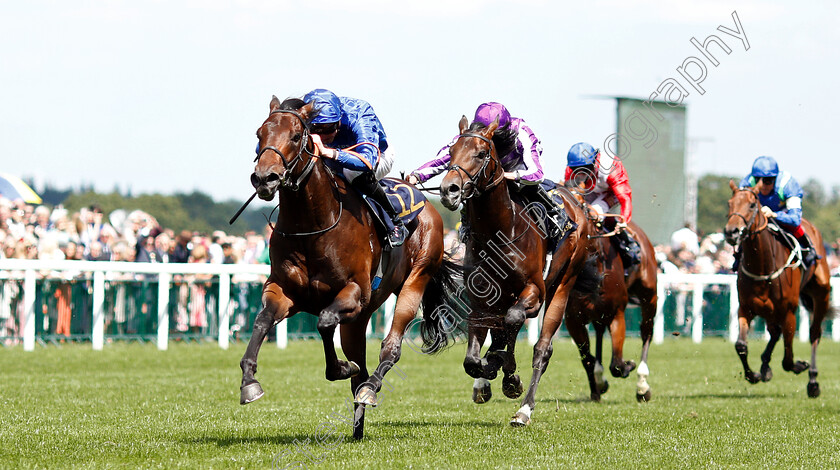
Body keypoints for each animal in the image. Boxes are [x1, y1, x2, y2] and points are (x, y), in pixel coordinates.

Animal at [240, 96, 456, 440]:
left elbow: (325, 321)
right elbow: (262, 320)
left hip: (414, 280)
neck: (313, 226)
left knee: (389, 349)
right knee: (361, 366)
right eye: (260, 133)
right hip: (360, 317)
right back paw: (357, 425)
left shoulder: (354, 291)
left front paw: (340, 367)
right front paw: (249, 382)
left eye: (296, 135)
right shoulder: (284, 291)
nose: (264, 178)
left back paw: (370, 389)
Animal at [436, 115, 600, 428]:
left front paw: (507, 374)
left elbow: (512, 323)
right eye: (450, 152)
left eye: (481, 153)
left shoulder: (534, 291)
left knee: (541, 348)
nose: (449, 189)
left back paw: (524, 408)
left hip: (562, 285)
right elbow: (473, 359)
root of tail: (576, 203)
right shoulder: (480, 298)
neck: (500, 231)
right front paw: (489, 370)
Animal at [564, 182, 656, 402]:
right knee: (599, 332)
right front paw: (597, 387)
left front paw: (628, 366)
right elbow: (588, 359)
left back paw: (642, 385)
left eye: (580, 203)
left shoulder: (617, 314)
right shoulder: (573, 319)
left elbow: (616, 364)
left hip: (650, 296)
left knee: (646, 332)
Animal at [720, 180, 832, 396]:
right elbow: (741, 345)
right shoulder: (746, 307)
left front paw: (800, 365)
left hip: (821, 294)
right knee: (774, 332)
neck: (763, 265)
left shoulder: (788, 312)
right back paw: (765, 367)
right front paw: (754, 375)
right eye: (730, 203)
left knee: (814, 334)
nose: (731, 232)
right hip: (769, 311)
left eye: (752, 205)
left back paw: (813, 381)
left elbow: (788, 360)